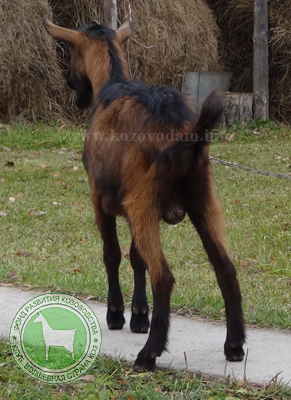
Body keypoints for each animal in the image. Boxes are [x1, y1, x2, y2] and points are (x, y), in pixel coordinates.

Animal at [42, 17, 245, 370]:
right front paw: (138, 315)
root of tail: (184, 133)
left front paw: (116, 314)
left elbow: (112, 253)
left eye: (72, 55)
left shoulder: (100, 198)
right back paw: (233, 345)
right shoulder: (132, 206)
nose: (71, 84)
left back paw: (149, 353)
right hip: (201, 199)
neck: (111, 86)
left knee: (163, 276)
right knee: (226, 269)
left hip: (145, 201)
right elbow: (136, 257)